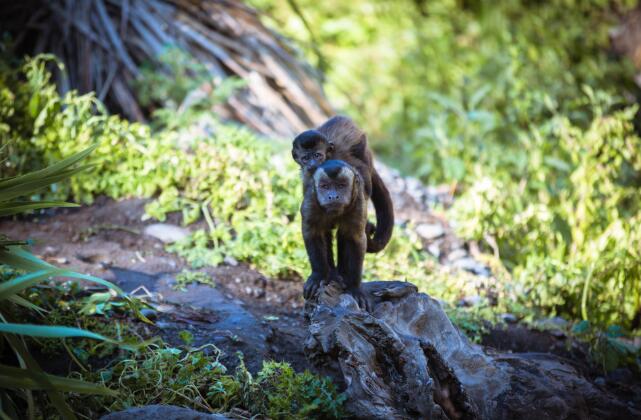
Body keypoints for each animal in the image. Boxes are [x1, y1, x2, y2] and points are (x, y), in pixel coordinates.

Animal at [292, 115, 392, 253]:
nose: (312, 164)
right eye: (305, 158)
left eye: (317, 155)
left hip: (363, 146)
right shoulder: (307, 177)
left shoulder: (340, 159)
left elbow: (361, 173)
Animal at [302, 159, 368, 310]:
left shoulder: (358, 201)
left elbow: (356, 238)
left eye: (341, 186)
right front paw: (318, 275)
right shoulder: (311, 200)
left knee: (344, 234)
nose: (333, 196)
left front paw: (354, 287)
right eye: (325, 186)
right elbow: (312, 232)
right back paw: (331, 274)